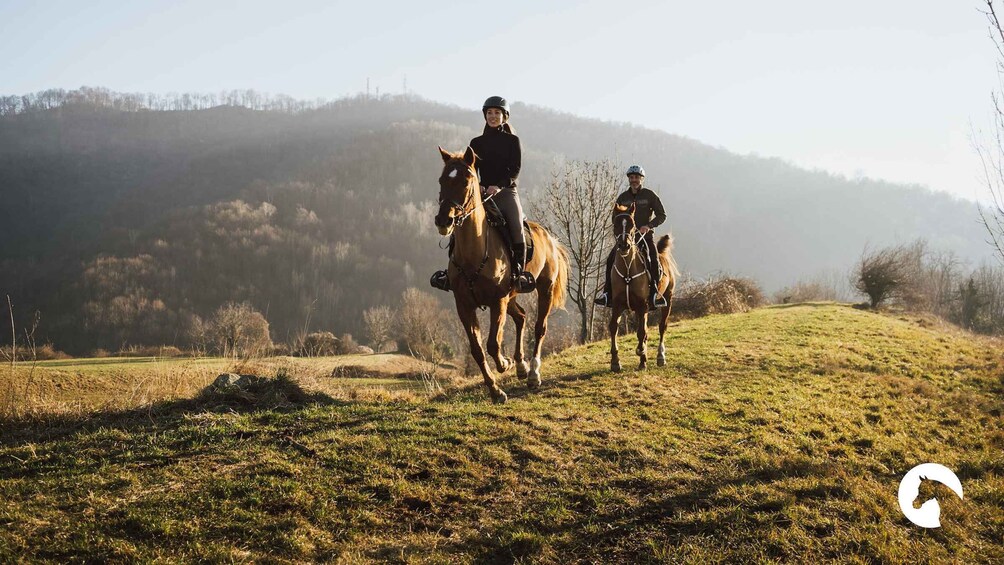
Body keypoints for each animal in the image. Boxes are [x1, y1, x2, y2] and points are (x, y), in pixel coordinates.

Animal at [435, 145, 570, 401]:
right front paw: (496, 390)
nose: (443, 220)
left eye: (466, 181)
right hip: (512, 296)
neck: (474, 253)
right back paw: (521, 366)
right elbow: (477, 349)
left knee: (539, 327)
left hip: (543, 289)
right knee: (521, 317)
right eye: (441, 180)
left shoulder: (497, 301)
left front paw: (504, 364)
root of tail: (549, 236)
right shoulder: (464, 305)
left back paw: (533, 373)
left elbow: (492, 344)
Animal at [606, 202, 678, 371]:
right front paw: (615, 361)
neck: (628, 269)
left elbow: (641, 332)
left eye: (632, 225)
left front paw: (641, 354)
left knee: (662, 326)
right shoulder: (617, 305)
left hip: (668, 299)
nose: (624, 246)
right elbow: (613, 327)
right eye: (616, 224)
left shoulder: (642, 305)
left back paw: (660, 356)